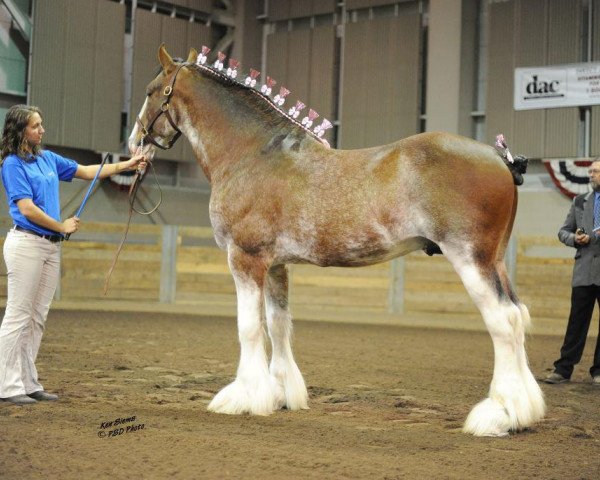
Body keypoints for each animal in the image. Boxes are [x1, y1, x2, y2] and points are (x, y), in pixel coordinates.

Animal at [129, 47, 548, 436]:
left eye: (151, 91)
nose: (134, 143)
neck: (252, 155)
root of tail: (499, 156)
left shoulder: (245, 259)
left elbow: (248, 327)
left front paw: (243, 397)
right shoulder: (276, 265)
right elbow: (278, 324)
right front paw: (280, 395)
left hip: (471, 260)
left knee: (502, 321)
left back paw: (498, 414)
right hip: (495, 262)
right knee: (518, 316)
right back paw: (522, 411)